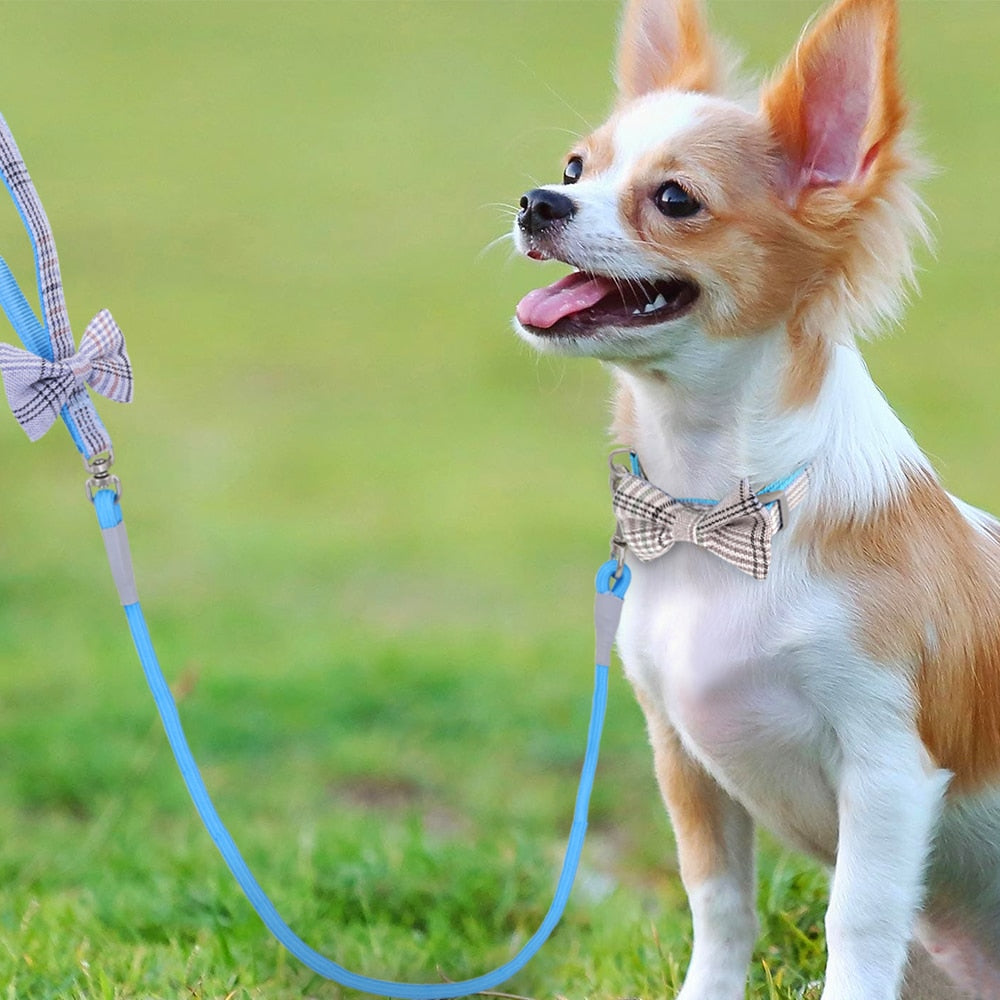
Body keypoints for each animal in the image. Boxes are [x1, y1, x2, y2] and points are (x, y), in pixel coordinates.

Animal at [512, 1, 996, 1000]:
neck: (715, 507)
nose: (537, 202)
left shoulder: (887, 773)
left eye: (674, 200)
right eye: (577, 169)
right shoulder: (681, 753)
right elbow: (719, 905)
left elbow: (856, 923)